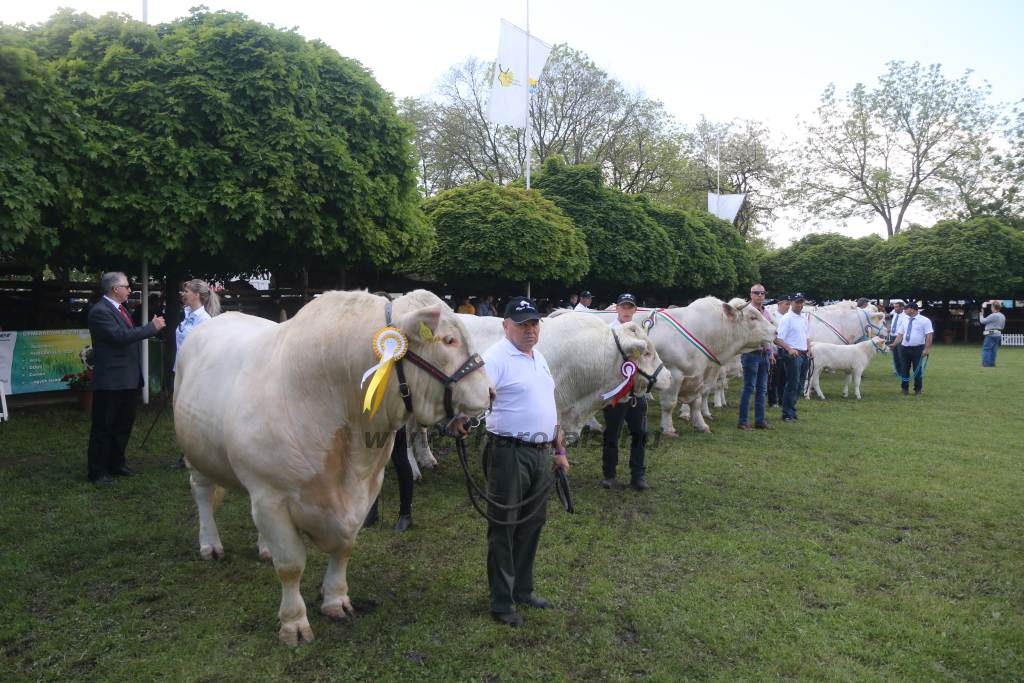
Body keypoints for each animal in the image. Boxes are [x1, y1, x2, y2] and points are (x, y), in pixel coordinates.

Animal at [174, 290, 493, 647]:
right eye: (449, 340)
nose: (491, 391)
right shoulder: (271, 495)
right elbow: (291, 565)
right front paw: (294, 623)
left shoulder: (365, 488)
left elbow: (344, 548)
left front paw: (336, 601)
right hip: (196, 453)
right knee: (202, 495)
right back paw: (210, 544)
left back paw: (264, 547)